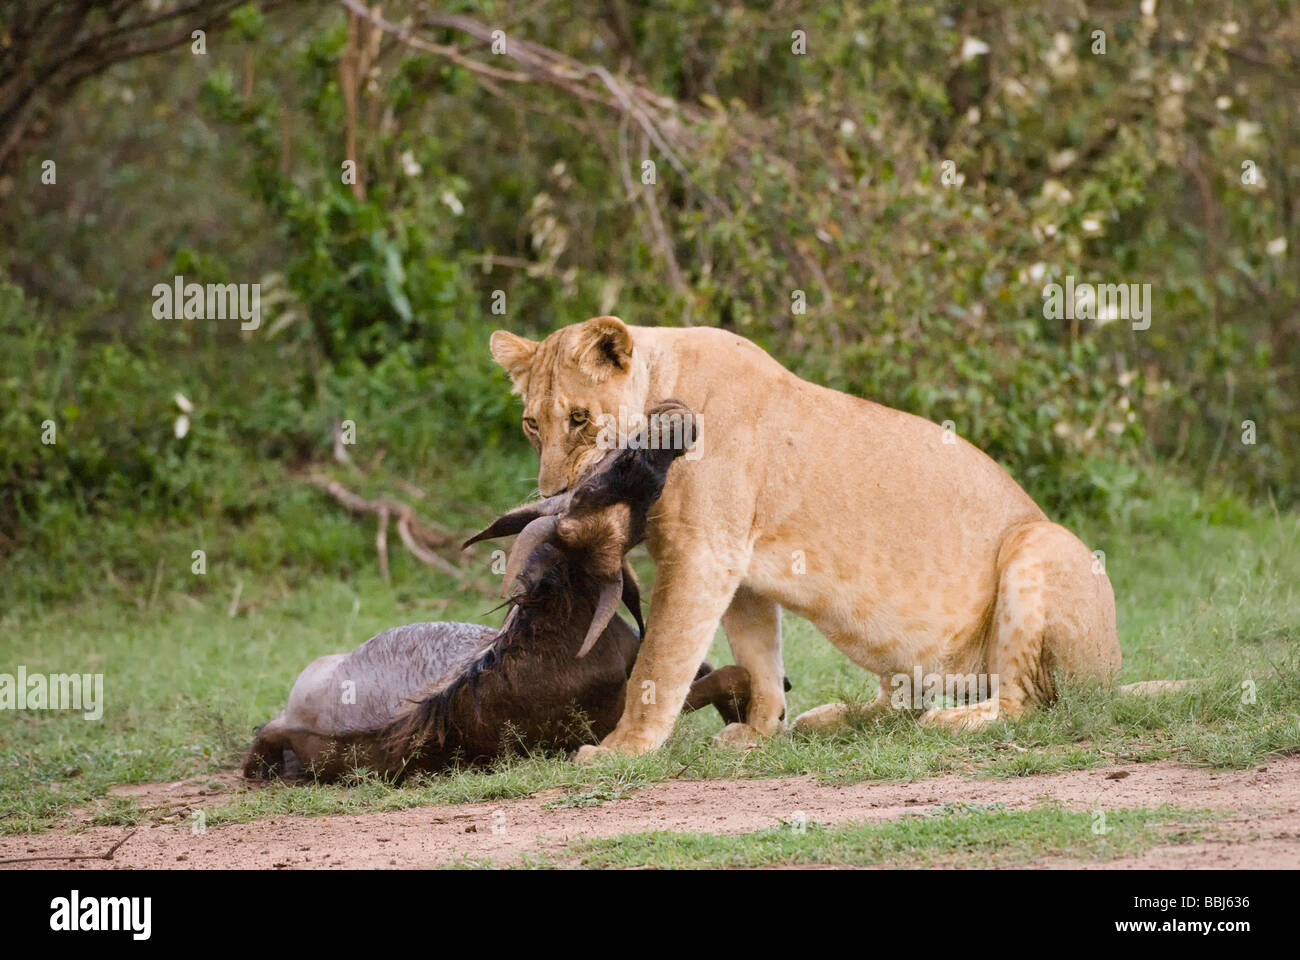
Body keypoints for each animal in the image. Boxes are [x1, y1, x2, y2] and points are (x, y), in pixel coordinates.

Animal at [489, 316, 1121, 760]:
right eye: (531, 424)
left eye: (579, 418)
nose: (554, 494)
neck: (660, 395)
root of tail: (1114, 674)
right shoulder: (737, 571)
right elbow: (758, 656)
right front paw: (762, 730)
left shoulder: (701, 554)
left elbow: (658, 661)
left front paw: (622, 749)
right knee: (904, 698)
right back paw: (837, 716)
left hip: (1041, 546)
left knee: (1028, 702)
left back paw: (952, 722)